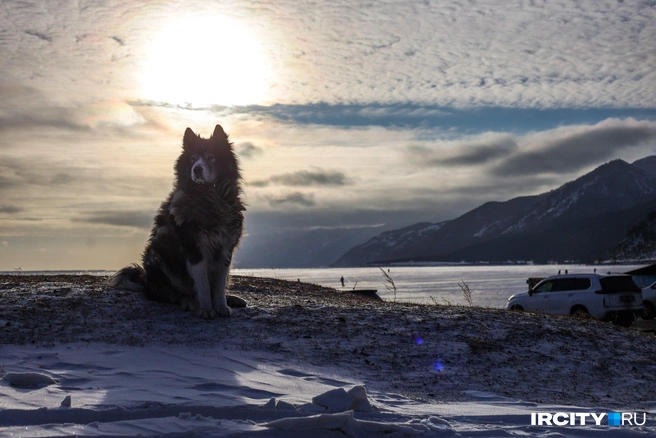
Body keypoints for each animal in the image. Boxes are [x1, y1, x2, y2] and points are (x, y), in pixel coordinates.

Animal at [111, 125, 245, 320]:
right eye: (193, 158)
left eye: (211, 157)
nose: (197, 169)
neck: (209, 199)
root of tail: (145, 280)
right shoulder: (193, 247)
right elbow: (203, 284)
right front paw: (206, 308)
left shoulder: (226, 248)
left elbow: (219, 285)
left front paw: (221, 305)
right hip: (158, 257)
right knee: (168, 293)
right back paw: (188, 301)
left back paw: (232, 299)